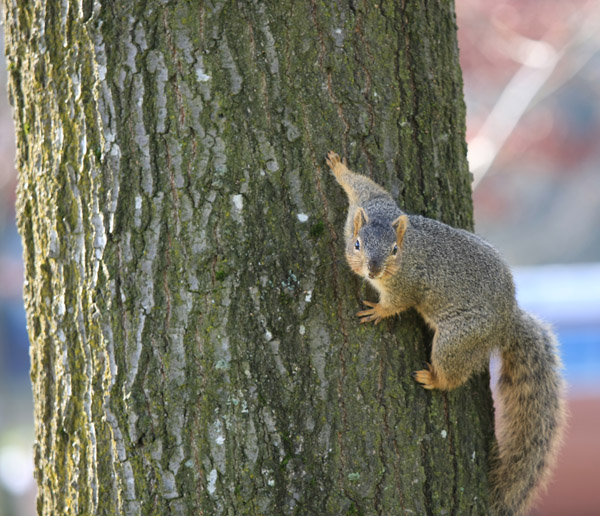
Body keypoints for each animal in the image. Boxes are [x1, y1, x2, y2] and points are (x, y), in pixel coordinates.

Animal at [328, 150, 568, 516]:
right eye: (356, 244)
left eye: (394, 251)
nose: (374, 269)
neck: (405, 245)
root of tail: (506, 321)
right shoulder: (371, 201)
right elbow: (365, 185)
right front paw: (338, 167)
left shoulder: (407, 284)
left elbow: (398, 303)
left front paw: (378, 311)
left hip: (457, 339)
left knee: (454, 371)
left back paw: (435, 378)